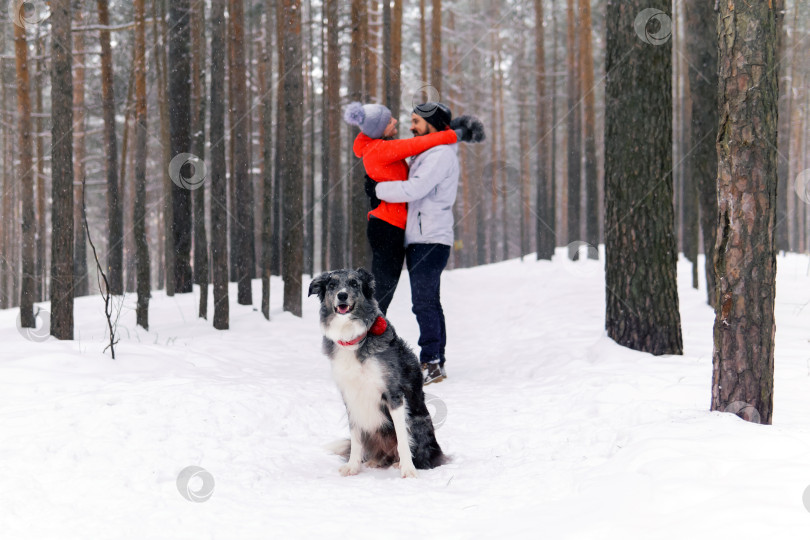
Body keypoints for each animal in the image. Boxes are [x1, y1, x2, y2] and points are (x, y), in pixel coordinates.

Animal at [310, 268, 448, 476]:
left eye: (354, 284)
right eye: (332, 285)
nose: (342, 295)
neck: (353, 338)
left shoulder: (393, 394)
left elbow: (402, 438)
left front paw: (408, 470)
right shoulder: (350, 396)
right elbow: (356, 438)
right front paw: (353, 466)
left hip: (418, 422)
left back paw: (400, 463)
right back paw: (374, 461)